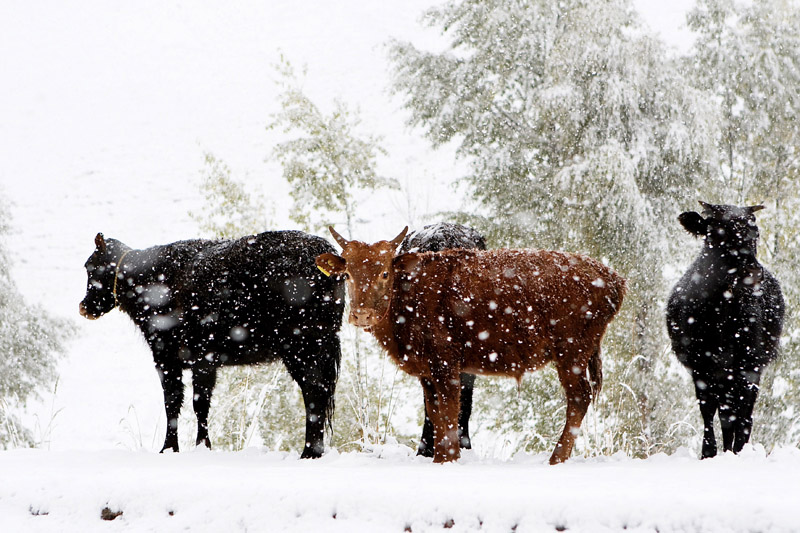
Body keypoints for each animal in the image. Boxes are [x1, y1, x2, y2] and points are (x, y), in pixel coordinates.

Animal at [80, 231, 344, 456]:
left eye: (90, 267)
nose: (84, 307)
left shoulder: (170, 358)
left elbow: (178, 403)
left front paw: (171, 448)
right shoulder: (202, 362)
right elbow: (198, 404)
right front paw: (201, 447)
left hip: (303, 347)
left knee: (314, 392)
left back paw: (309, 451)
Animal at [664, 202, 784, 460]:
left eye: (755, 233)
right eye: (717, 233)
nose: (752, 273)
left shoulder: (749, 364)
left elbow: (742, 412)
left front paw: (739, 450)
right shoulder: (700, 365)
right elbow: (708, 410)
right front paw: (708, 452)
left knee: (740, 411)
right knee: (725, 412)